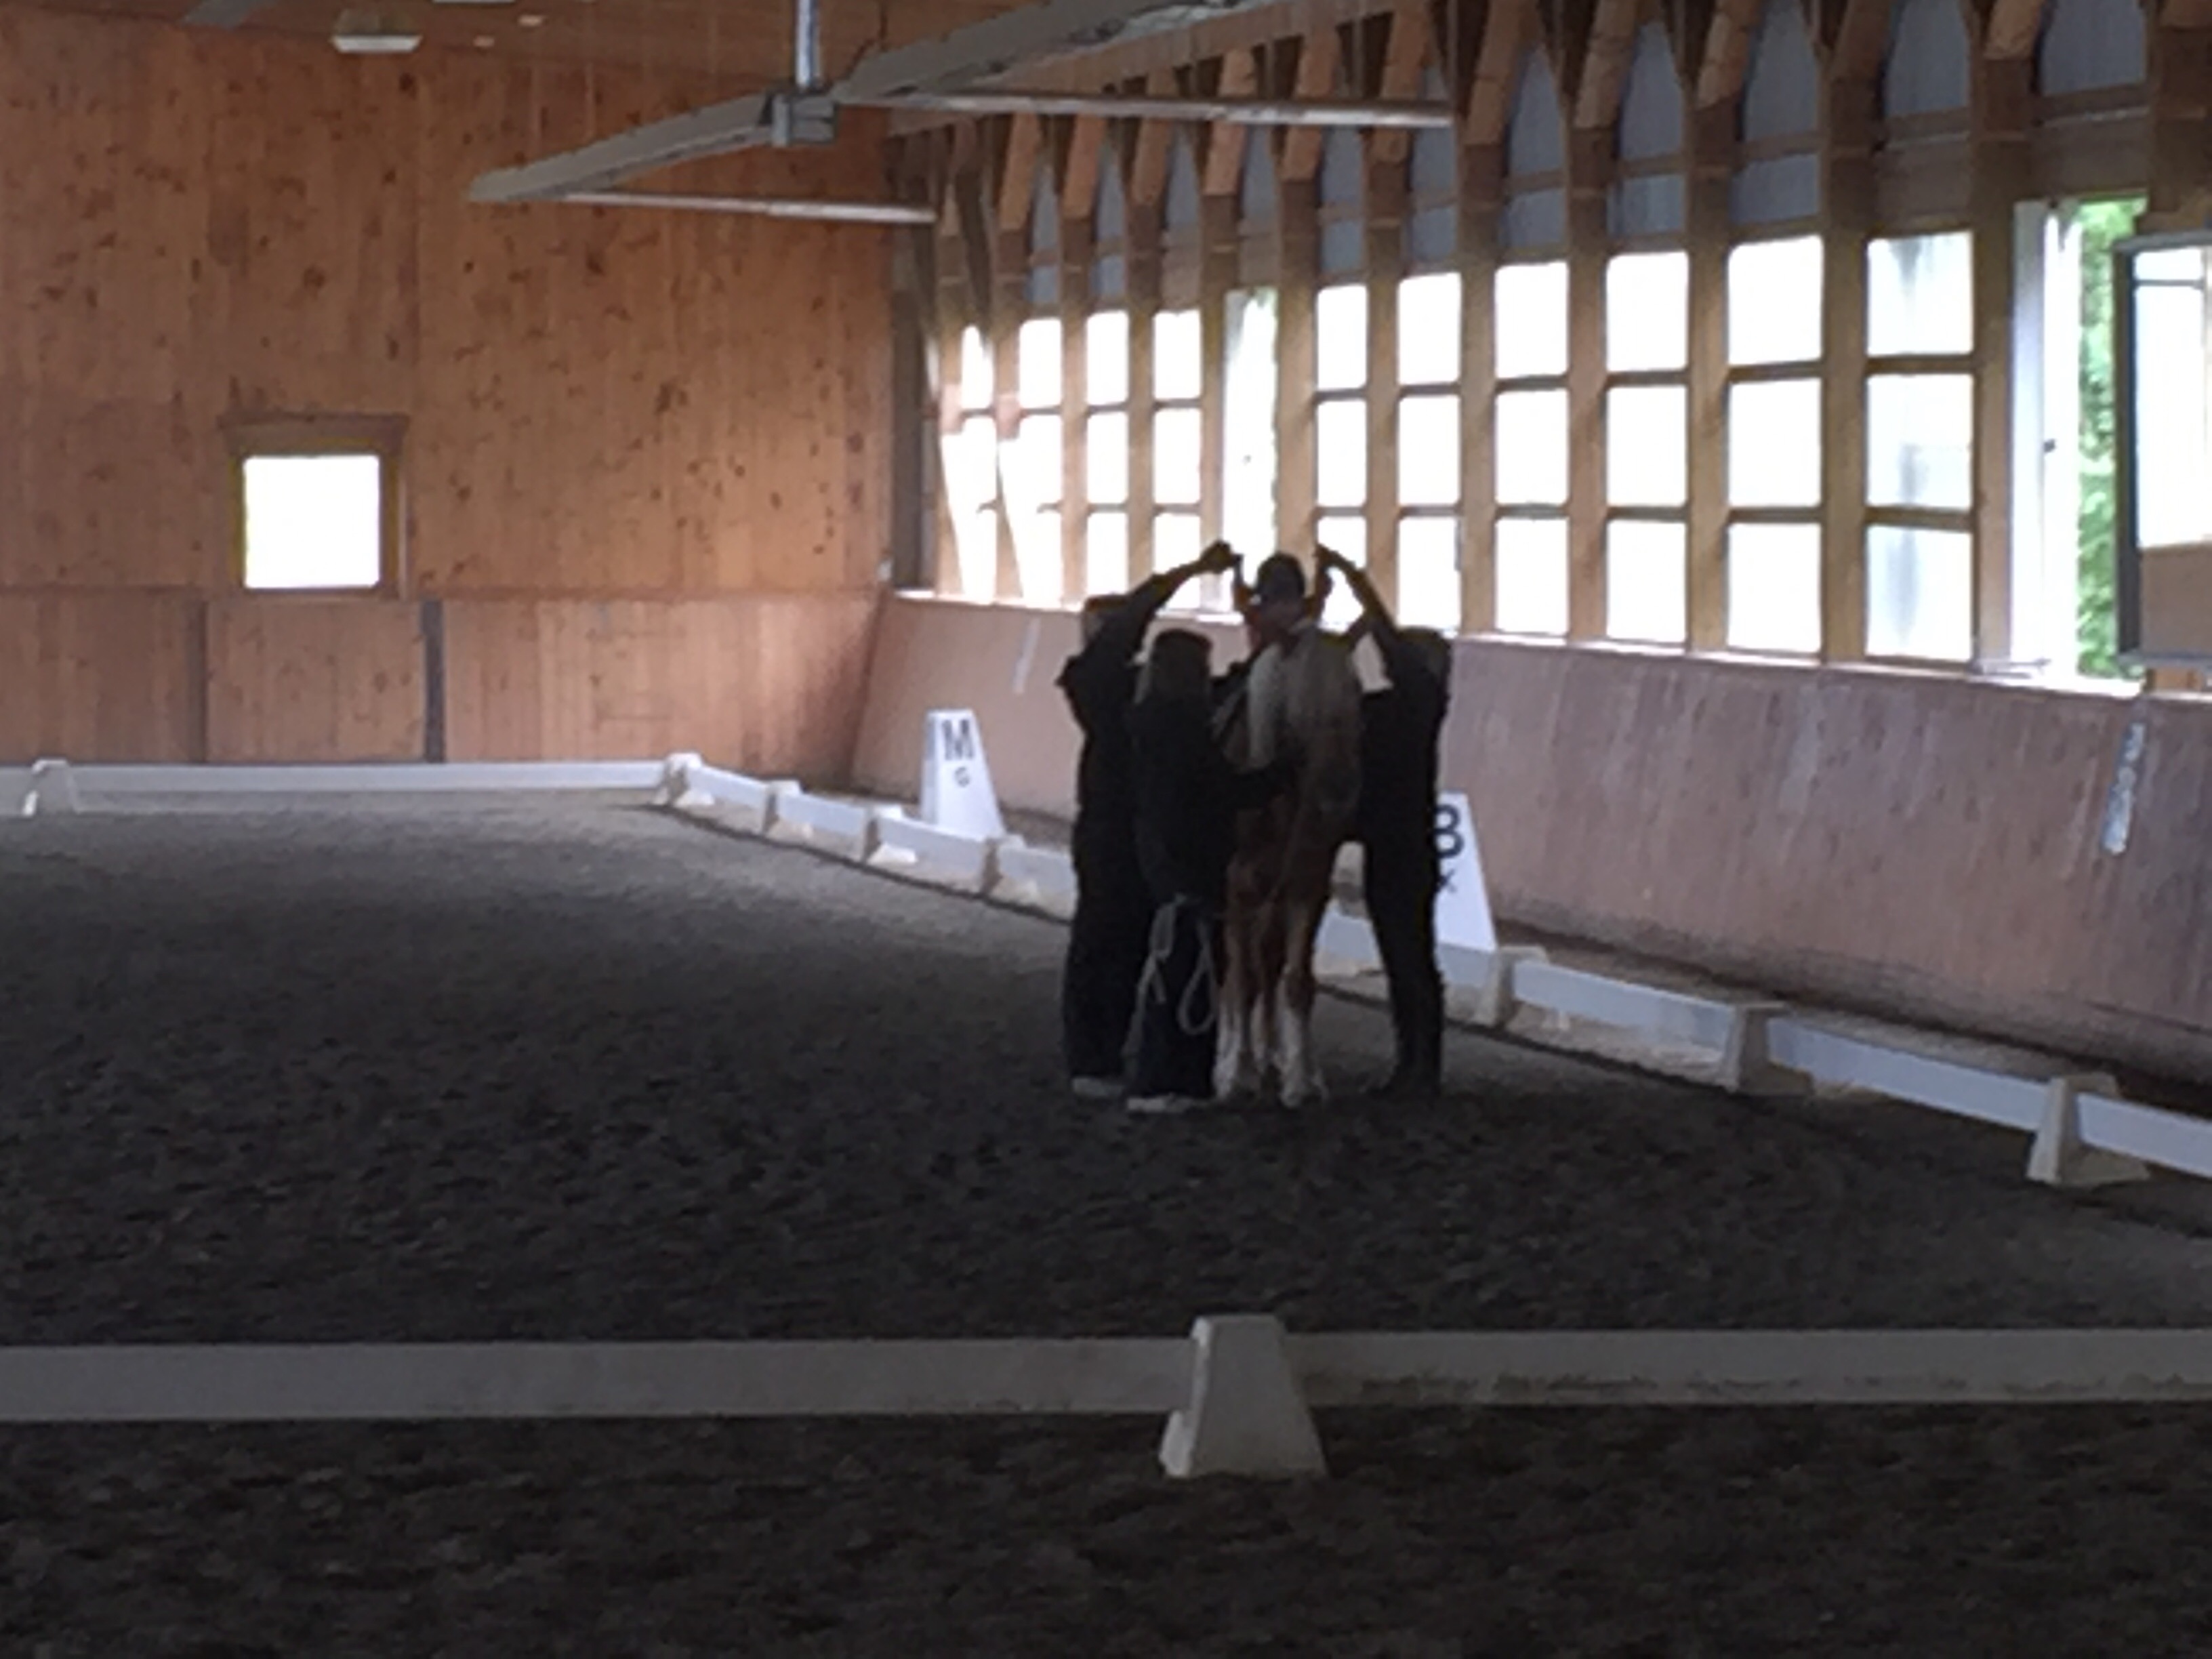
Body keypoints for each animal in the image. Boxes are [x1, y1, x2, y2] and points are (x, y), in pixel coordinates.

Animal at [1211, 590, 1365, 1106]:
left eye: (1354, 695)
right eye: (1301, 699)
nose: (1339, 796)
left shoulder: (1307, 884)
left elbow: (1296, 980)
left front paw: (1301, 1078)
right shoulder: (1234, 886)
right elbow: (1240, 982)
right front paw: (1235, 1073)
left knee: (1268, 961)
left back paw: (1273, 1057)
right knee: (1233, 972)